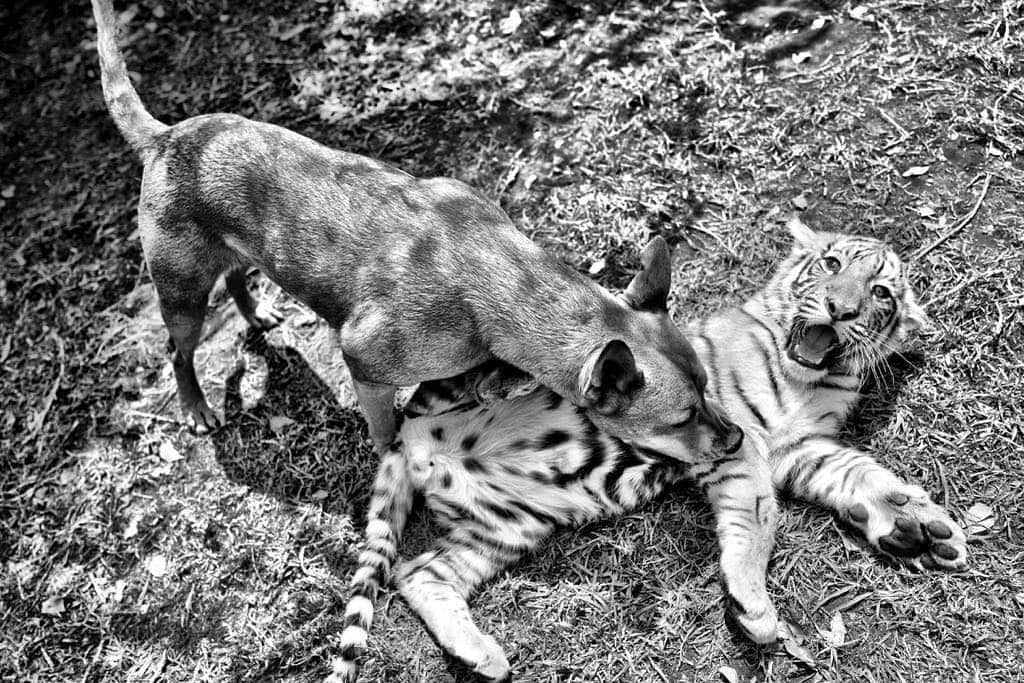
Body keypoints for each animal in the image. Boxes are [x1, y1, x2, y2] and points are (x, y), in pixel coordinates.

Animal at [90, 1, 745, 458]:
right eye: (681, 420)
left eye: (708, 390)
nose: (737, 438)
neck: (498, 278)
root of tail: (165, 137)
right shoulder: (365, 362)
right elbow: (386, 425)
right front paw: (392, 452)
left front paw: (498, 380)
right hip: (180, 292)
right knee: (179, 351)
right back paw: (196, 406)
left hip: (239, 251)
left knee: (237, 278)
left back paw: (257, 315)